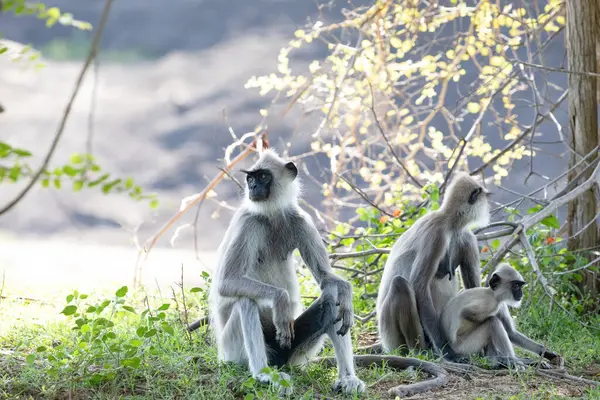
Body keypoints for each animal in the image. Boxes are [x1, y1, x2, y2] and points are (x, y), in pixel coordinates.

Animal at [206, 148, 366, 396]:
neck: (271, 215)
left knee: (332, 298)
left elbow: (327, 279)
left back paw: (348, 378)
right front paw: (281, 300)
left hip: (293, 354)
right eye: (250, 178)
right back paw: (263, 374)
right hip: (232, 352)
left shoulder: (299, 219)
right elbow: (227, 282)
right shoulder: (248, 222)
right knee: (245, 301)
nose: (253, 187)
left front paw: (346, 294)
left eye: (263, 177)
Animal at [378, 172, 490, 360]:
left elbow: (474, 288)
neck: (450, 224)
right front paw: (447, 352)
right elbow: (419, 285)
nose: (489, 206)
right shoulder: (436, 234)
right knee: (401, 284)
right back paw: (419, 351)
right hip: (391, 336)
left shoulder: (467, 237)